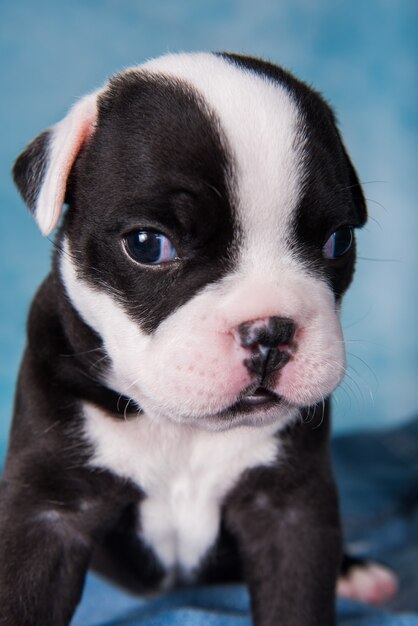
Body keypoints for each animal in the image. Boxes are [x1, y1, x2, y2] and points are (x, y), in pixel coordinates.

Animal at [0, 53, 396, 624]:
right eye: (147, 245)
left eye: (338, 240)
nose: (269, 331)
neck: (180, 429)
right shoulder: (48, 513)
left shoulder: (290, 511)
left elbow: (297, 595)